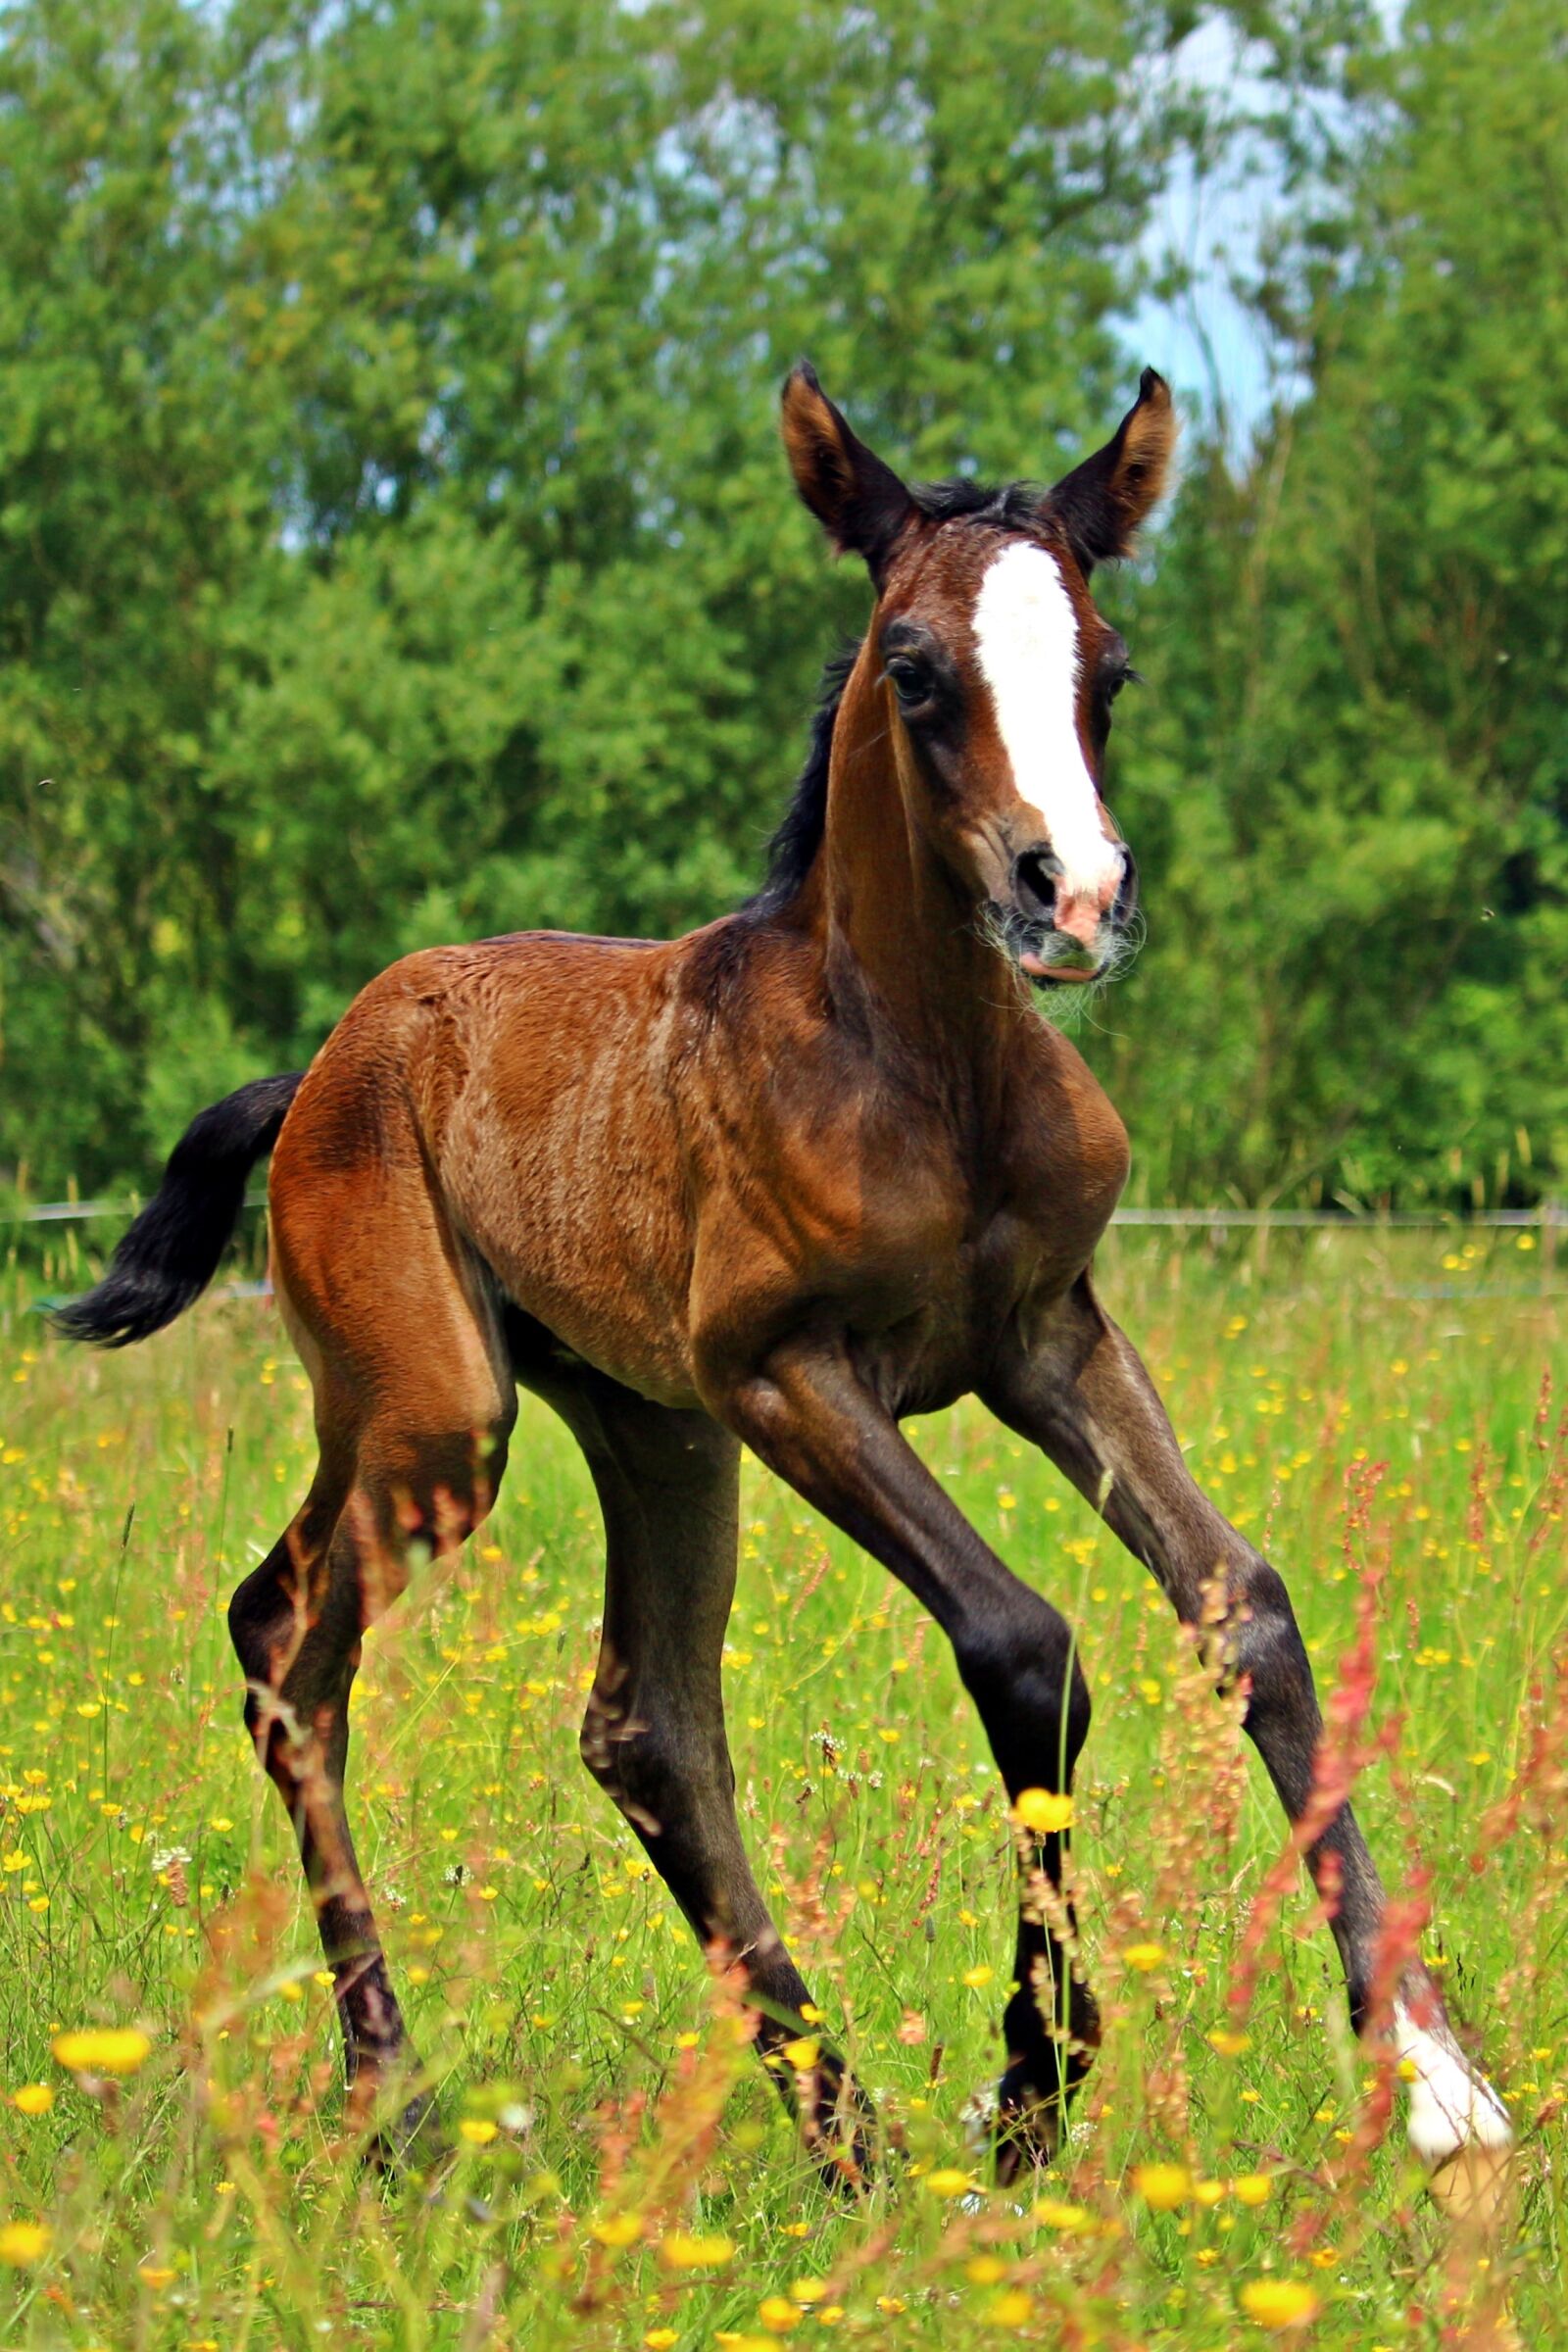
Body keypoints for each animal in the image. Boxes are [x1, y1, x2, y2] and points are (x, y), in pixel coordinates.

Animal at [59, 362, 1511, 2215]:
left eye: (1108, 667)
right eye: (915, 666)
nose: (1075, 899)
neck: (932, 1075)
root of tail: (316, 1069)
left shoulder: (1049, 1337)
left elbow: (1241, 1604)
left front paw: (1437, 2081)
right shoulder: (790, 1374)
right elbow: (1025, 1644)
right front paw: (1031, 2091)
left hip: (649, 1430)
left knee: (642, 1722)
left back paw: (839, 2125)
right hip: (438, 1417)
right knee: (287, 1640)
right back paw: (399, 2103)